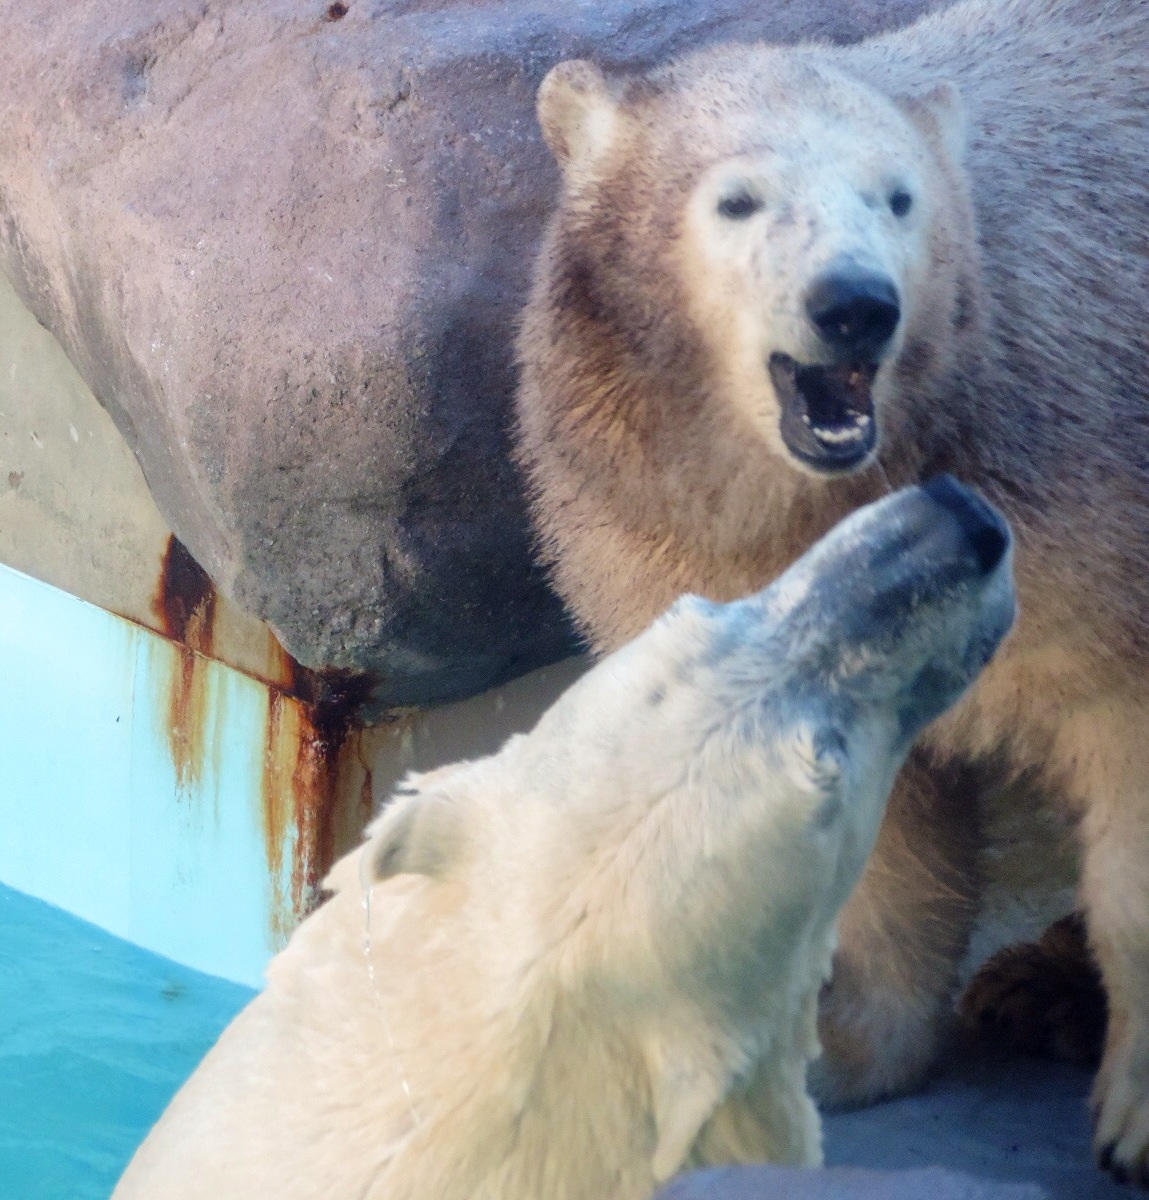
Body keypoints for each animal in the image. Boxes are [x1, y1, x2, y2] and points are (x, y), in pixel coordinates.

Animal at [518, 0, 1149, 1180]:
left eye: (896, 196)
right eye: (737, 198)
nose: (853, 306)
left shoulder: (1095, 505)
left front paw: (1137, 1110)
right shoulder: (681, 544)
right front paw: (831, 1057)